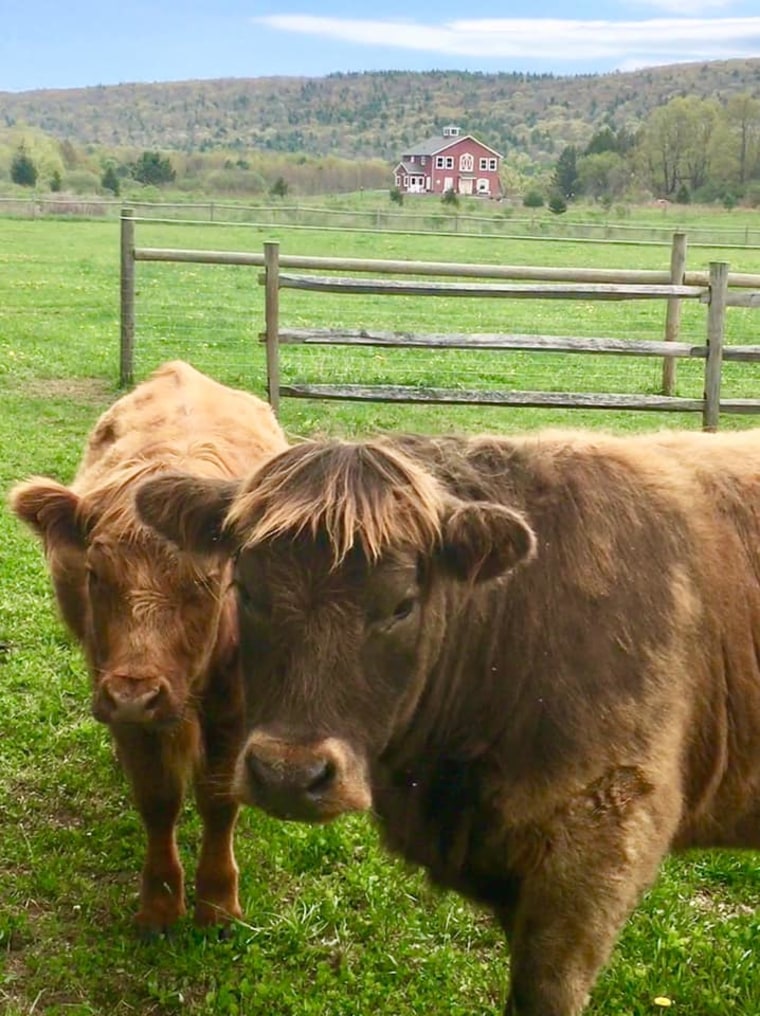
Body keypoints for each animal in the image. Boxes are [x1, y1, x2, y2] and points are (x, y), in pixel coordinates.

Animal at [8, 361, 288, 930]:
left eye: (206, 582)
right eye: (93, 574)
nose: (136, 695)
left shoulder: (235, 707)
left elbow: (218, 800)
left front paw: (217, 902)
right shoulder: (116, 696)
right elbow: (158, 798)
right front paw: (160, 904)